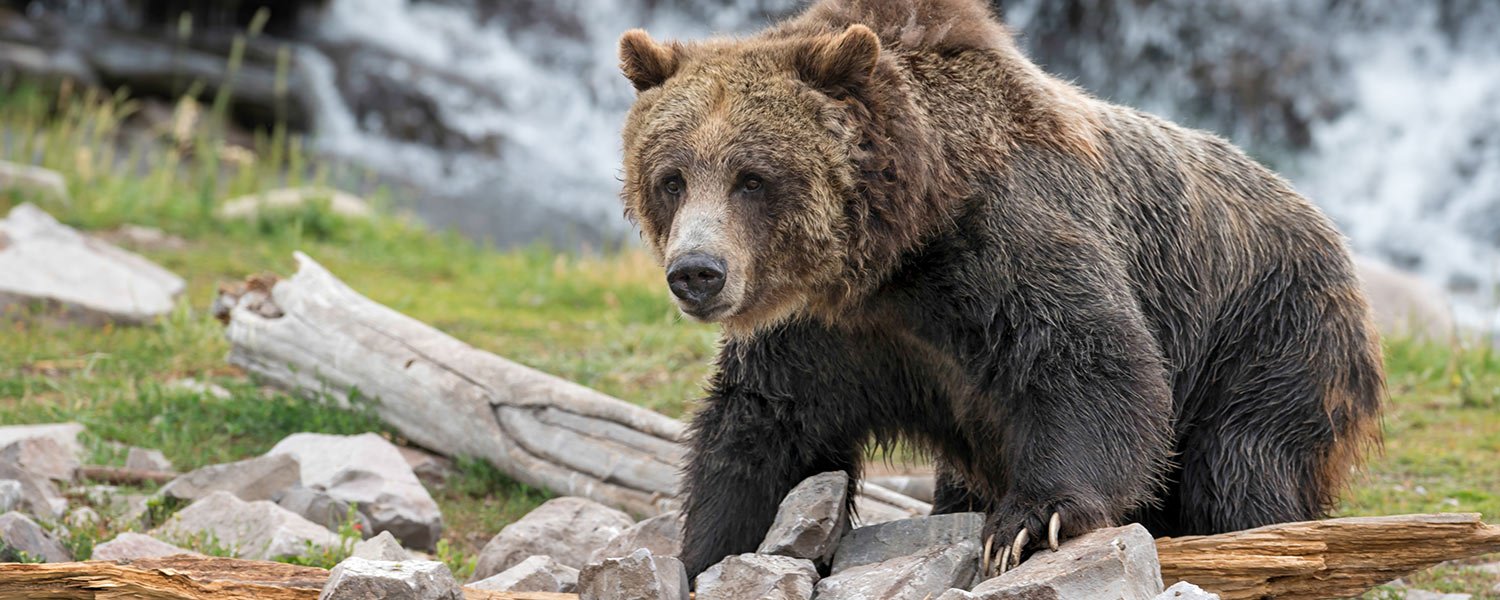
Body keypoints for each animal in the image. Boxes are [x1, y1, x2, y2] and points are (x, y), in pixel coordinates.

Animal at [615, 0, 1386, 579]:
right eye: (671, 177)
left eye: (753, 177)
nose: (697, 272)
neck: (896, 251)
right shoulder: (829, 334)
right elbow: (763, 428)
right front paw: (706, 550)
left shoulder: (1004, 246)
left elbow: (1091, 364)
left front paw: (1026, 523)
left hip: (1268, 337)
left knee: (1241, 468)